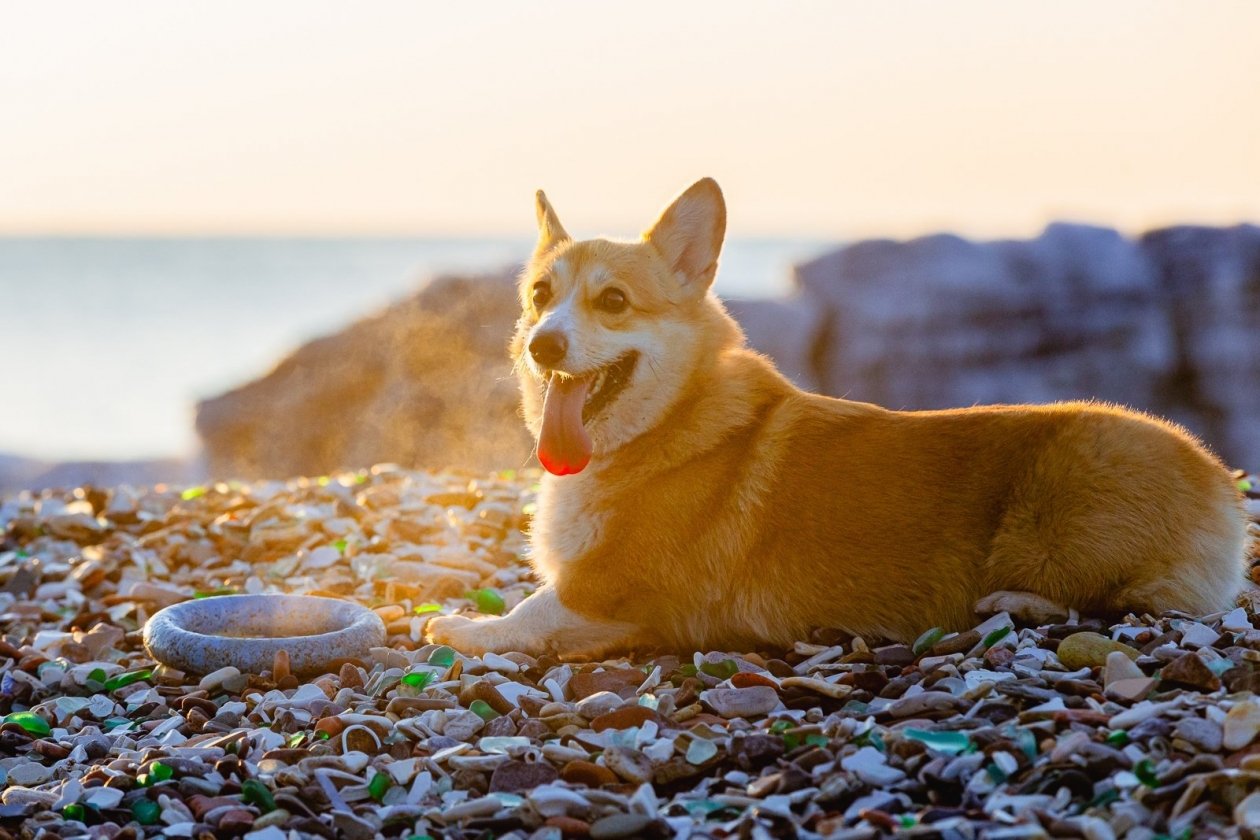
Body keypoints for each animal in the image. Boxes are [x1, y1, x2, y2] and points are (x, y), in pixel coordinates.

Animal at [430, 181, 1249, 659]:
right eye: (540, 296)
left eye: (613, 301)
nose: (542, 344)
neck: (665, 424)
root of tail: (1220, 480)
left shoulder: (605, 583)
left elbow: (532, 609)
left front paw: (463, 627)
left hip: (1067, 499)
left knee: (1121, 600)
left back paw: (1014, 602)